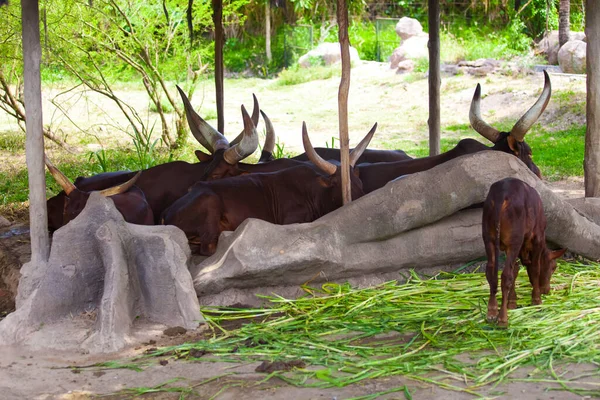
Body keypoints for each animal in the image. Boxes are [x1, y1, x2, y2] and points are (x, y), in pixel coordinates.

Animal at [161, 114, 376, 255]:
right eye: (340, 185)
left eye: (360, 184)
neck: (315, 190)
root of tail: (166, 214)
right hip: (210, 204)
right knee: (208, 247)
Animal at [480, 178, 564, 328]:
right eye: (553, 267)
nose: (546, 290)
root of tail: (502, 192)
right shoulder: (537, 238)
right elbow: (534, 270)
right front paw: (536, 299)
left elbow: (516, 270)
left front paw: (512, 302)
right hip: (514, 240)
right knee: (505, 275)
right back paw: (502, 319)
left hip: (488, 238)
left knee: (492, 273)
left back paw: (492, 312)